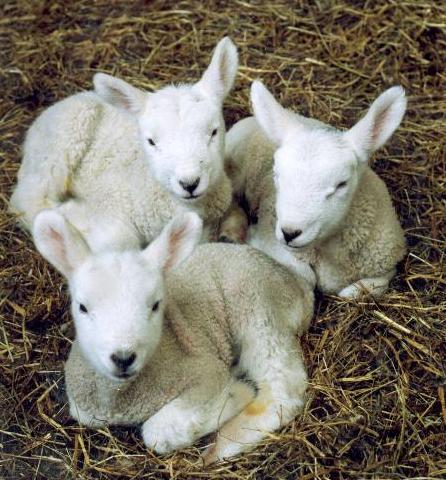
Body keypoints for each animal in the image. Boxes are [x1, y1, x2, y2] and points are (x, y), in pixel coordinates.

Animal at [10, 37, 240, 251]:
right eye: (151, 141)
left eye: (214, 131)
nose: (189, 183)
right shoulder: (110, 200)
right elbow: (116, 239)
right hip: (63, 138)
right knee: (27, 197)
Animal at [32, 209, 314, 462]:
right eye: (82, 307)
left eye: (156, 305)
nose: (123, 357)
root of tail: (299, 286)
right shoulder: (83, 407)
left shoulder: (206, 371)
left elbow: (158, 433)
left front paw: (237, 394)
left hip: (259, 308)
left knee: (283, 387)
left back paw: (223, 445)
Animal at [226, 81, 408, 298]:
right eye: (276, 174)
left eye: (342, 184)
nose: (290, 233)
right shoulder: (271, 238)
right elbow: (308, 276)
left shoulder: (388, 261)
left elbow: (364, 288)